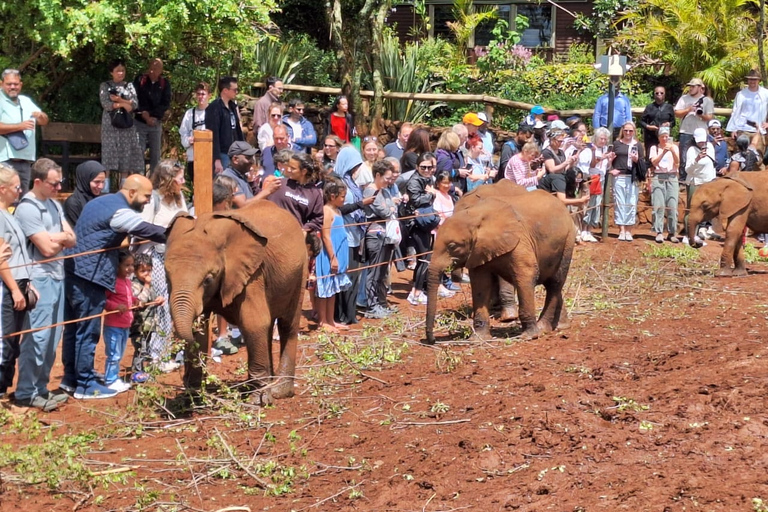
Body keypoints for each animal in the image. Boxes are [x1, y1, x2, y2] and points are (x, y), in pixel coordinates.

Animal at [165, 200, 306, 404]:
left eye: (208, 279)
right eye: (167, 277)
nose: (183, 379)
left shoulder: (253, 275)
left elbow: (253, 323)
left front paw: (258, 401)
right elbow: (201, 330)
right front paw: (192, 399)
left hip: (301, 271)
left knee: (288, 325)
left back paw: (278, 391)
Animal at [426, 186, 576, 342]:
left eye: (453, 246)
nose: (432, 340)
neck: (475, 215)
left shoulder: (520, 240)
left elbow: (526, 275)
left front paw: (528, 336)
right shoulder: (478, 250)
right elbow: (480, 283)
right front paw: (478, 339)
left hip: (568, 240)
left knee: (554, 283)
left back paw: (543, 328)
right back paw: (560, 326)